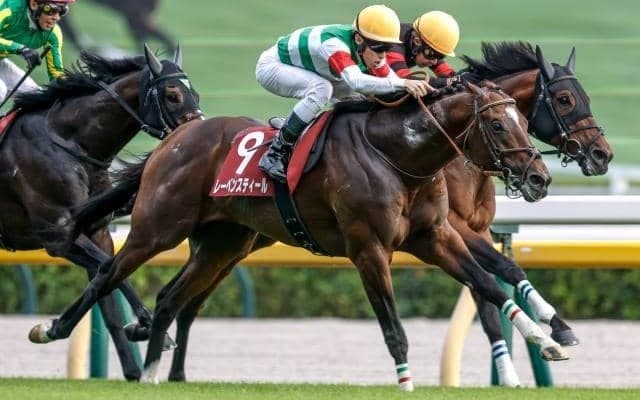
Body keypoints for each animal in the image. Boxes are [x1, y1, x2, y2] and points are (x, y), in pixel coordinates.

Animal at [1, 45, 203, 380]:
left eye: (195, 94)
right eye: (172, 94)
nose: (199, 130)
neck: (72, 145)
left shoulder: (97, 233)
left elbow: (108, 299)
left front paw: (133, 369)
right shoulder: (58, 237)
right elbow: (110, 270)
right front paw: (149, 326)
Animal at [40, 42, 612, 387]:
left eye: (520, 120)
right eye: (564, 99)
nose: (539, 177)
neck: (404, 154)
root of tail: (178, 137)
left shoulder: (437, 235)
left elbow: (494, 281)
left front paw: (551, 336)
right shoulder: (371, 248)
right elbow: (408, 320)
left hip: (223, 243)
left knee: (173, 300)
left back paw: (162, 374)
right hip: (159, 227)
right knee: (109, 274)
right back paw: (55, 330)